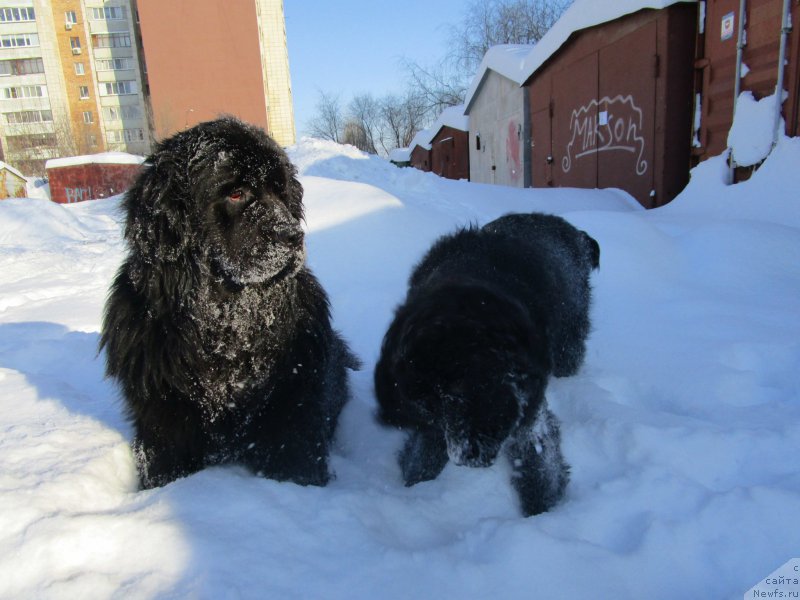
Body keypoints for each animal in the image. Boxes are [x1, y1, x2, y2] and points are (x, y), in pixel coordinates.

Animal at [100, 116, 356, 488]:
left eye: (281, 191)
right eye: (237, 193)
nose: (293, 235)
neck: (227, 324)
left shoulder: (293, 411)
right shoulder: (163, 422)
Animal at [376, 212, 600, 516]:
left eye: (464, 393)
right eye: (434, 403)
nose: (469, 456)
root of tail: (573, 231)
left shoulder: (528, 409)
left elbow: (539, 461)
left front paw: (543, 511)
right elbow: (424, 451)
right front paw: (417, 483)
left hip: (570, 330)